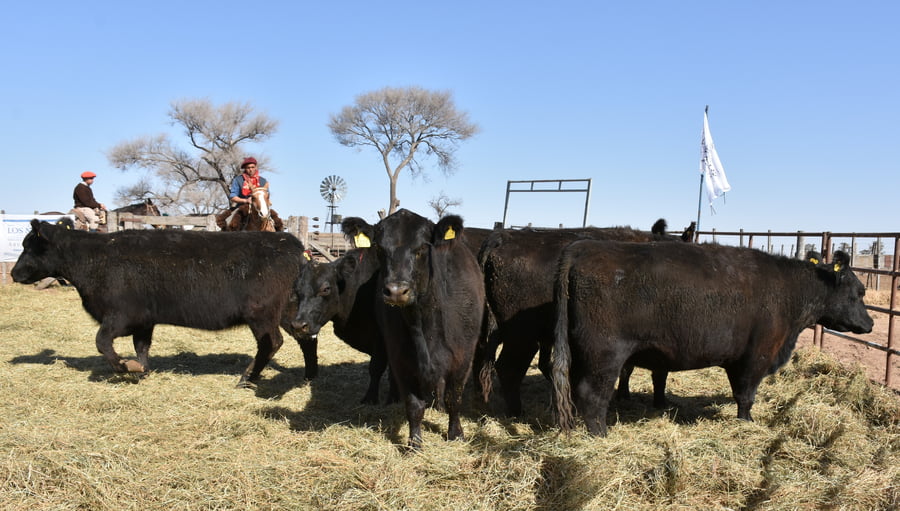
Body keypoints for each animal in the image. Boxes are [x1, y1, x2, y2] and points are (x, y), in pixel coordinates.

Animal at [11, 219, 313, 386]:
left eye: (29, 247)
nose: (14, 273)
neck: (94, 258)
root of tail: (292, 243)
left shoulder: (121, 315)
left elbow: (102, 342)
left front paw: (126, 367)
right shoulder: (144, 320)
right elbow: (141, 347)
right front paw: (141, 370)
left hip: (261, 313)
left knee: (272, 343)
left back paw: (247, 378)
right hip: (289, 311)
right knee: (305, 337)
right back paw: (309, 376)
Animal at [342, 209, 486, 449]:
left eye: (421, 249)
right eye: (380, 249)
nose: (396, 291)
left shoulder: (463, 357)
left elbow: (454, 398)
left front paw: (456, 433)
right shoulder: (402, 359)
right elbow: (413, 405)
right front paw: (415, 443)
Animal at [476, 219, 688, 416]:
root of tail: (505, 236)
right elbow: (656, 371)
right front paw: (658, 402)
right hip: (523, 336)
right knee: (508, 368)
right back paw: (517, 412)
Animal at [552, 240, 874, 436]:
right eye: (860, 291)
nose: (870, 324)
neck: (790, 292)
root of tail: (585, 247)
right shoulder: (755, 356)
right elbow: (745, 395)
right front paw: (746, 424)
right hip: (605, 354)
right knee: (592, 395)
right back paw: (602, 435)